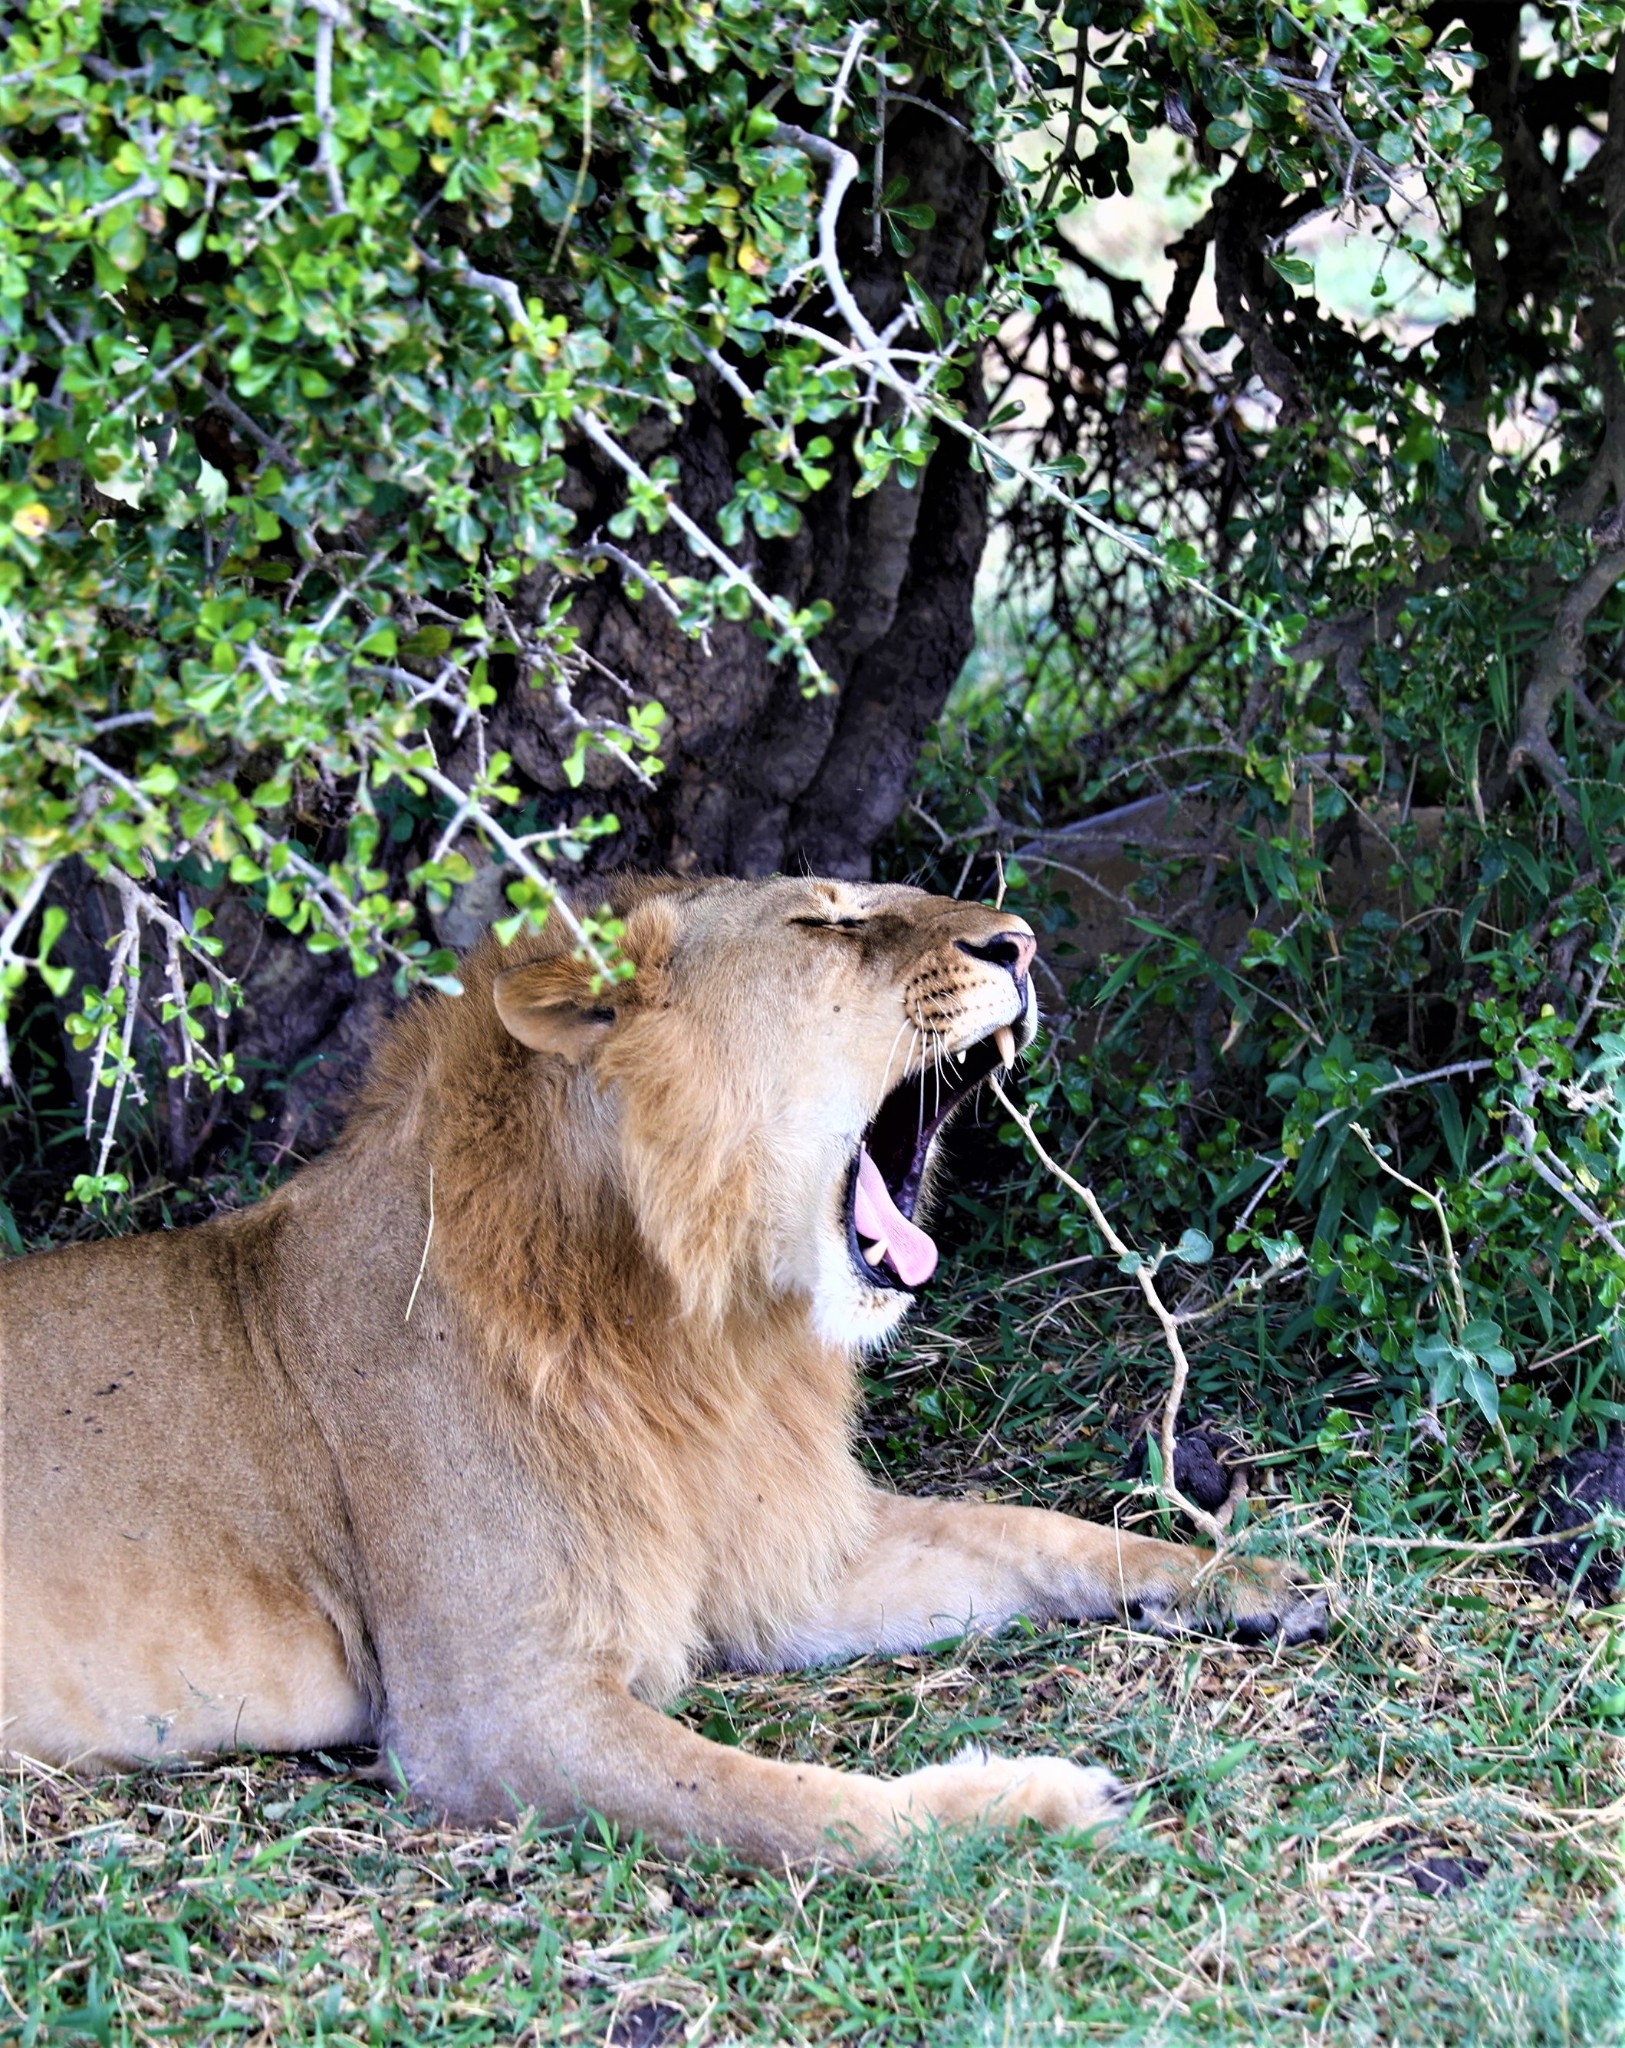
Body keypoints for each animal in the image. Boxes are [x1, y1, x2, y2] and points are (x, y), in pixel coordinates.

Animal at [0, 872, 1319, 1867]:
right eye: (826, 921)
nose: (1022, 941)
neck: (705, 1332)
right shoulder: (490, 1711)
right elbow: (794, 1806)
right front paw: (1029, 1806)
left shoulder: (781, 1561)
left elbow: (1024, 1529)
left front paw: (1239, 1576)